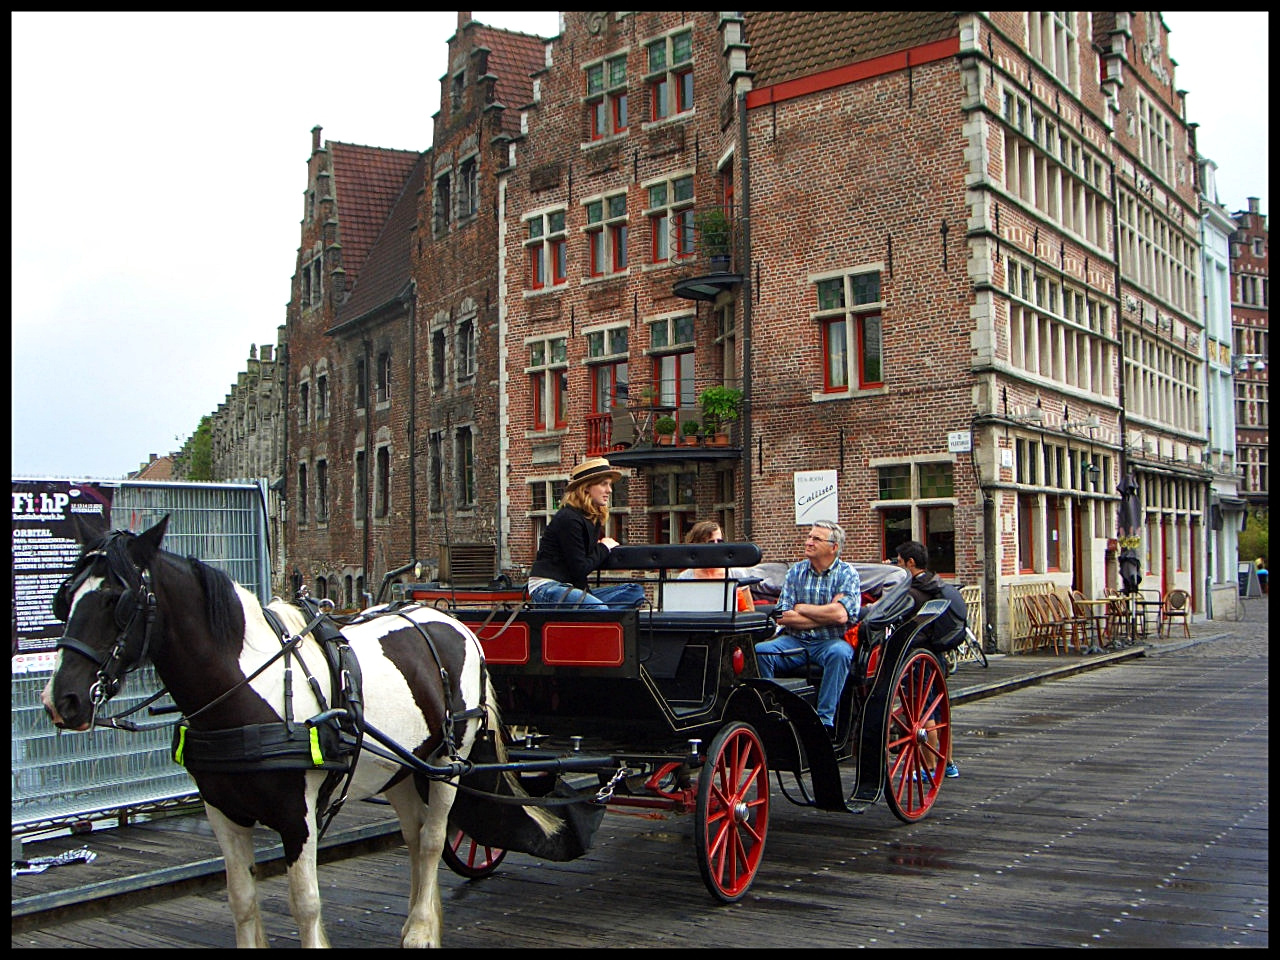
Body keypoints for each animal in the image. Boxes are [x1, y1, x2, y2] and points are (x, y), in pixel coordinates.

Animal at [42, 519, 568, 947]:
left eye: (118, 601)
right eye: (63, 597)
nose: (61, 700)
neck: (246, 688)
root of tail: (448, 619)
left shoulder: (299, 814)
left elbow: (306, 903)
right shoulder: (222, 811)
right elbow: (242, 900)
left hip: (446, 763)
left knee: (436, 837)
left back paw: (421, 930)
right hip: (399, 767)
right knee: (416, 838)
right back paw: (418, 919)